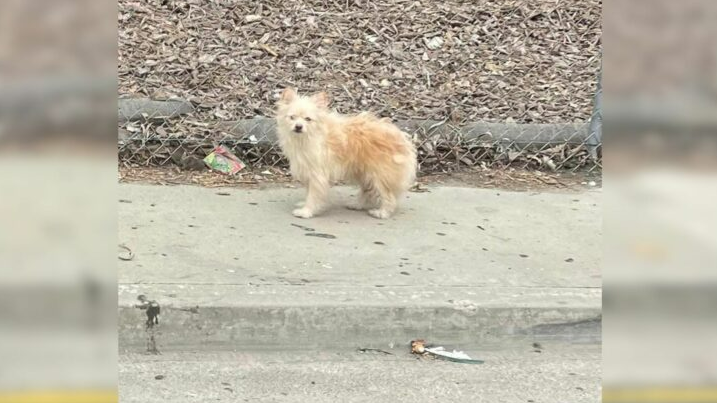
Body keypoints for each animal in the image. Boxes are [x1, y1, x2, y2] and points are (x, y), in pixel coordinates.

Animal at [276, 88, 420, 219]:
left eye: (308, 119)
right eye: (292, 117)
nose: (298, 126)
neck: (307, 137)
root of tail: (402, 137)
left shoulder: (317, 174)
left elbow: (313, 194)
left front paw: (307, 211)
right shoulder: (308, 171)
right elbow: (309, 192)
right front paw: (304, 204)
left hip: (379, 175)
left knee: (388, 196)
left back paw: (382, 213)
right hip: (364, 173)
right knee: (368, 191)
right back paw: (358, 205)